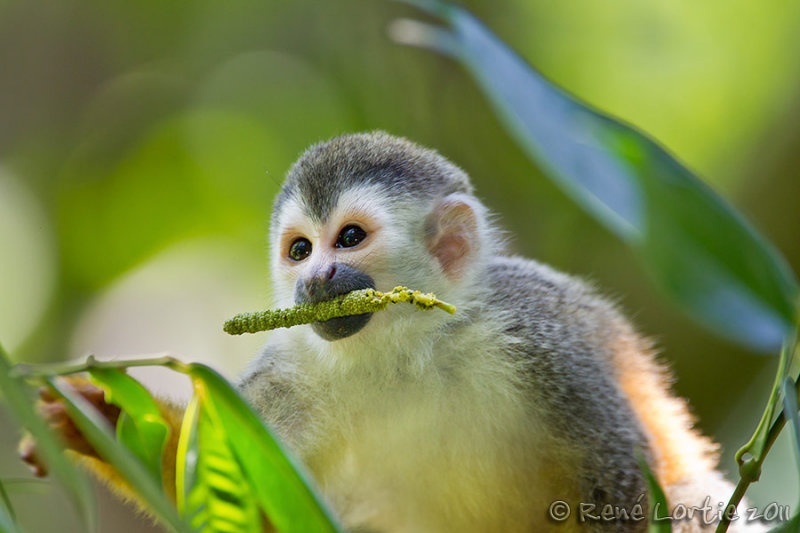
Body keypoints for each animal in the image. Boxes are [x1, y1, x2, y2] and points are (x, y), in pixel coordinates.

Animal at [23, 132, 764, 528]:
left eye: (349, 238)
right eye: (299, 249)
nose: (316, 278)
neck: (403, 355)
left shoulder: (536, 342)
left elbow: (620, 482)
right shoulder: (289, 377)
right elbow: (259, 502)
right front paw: (107, 420)